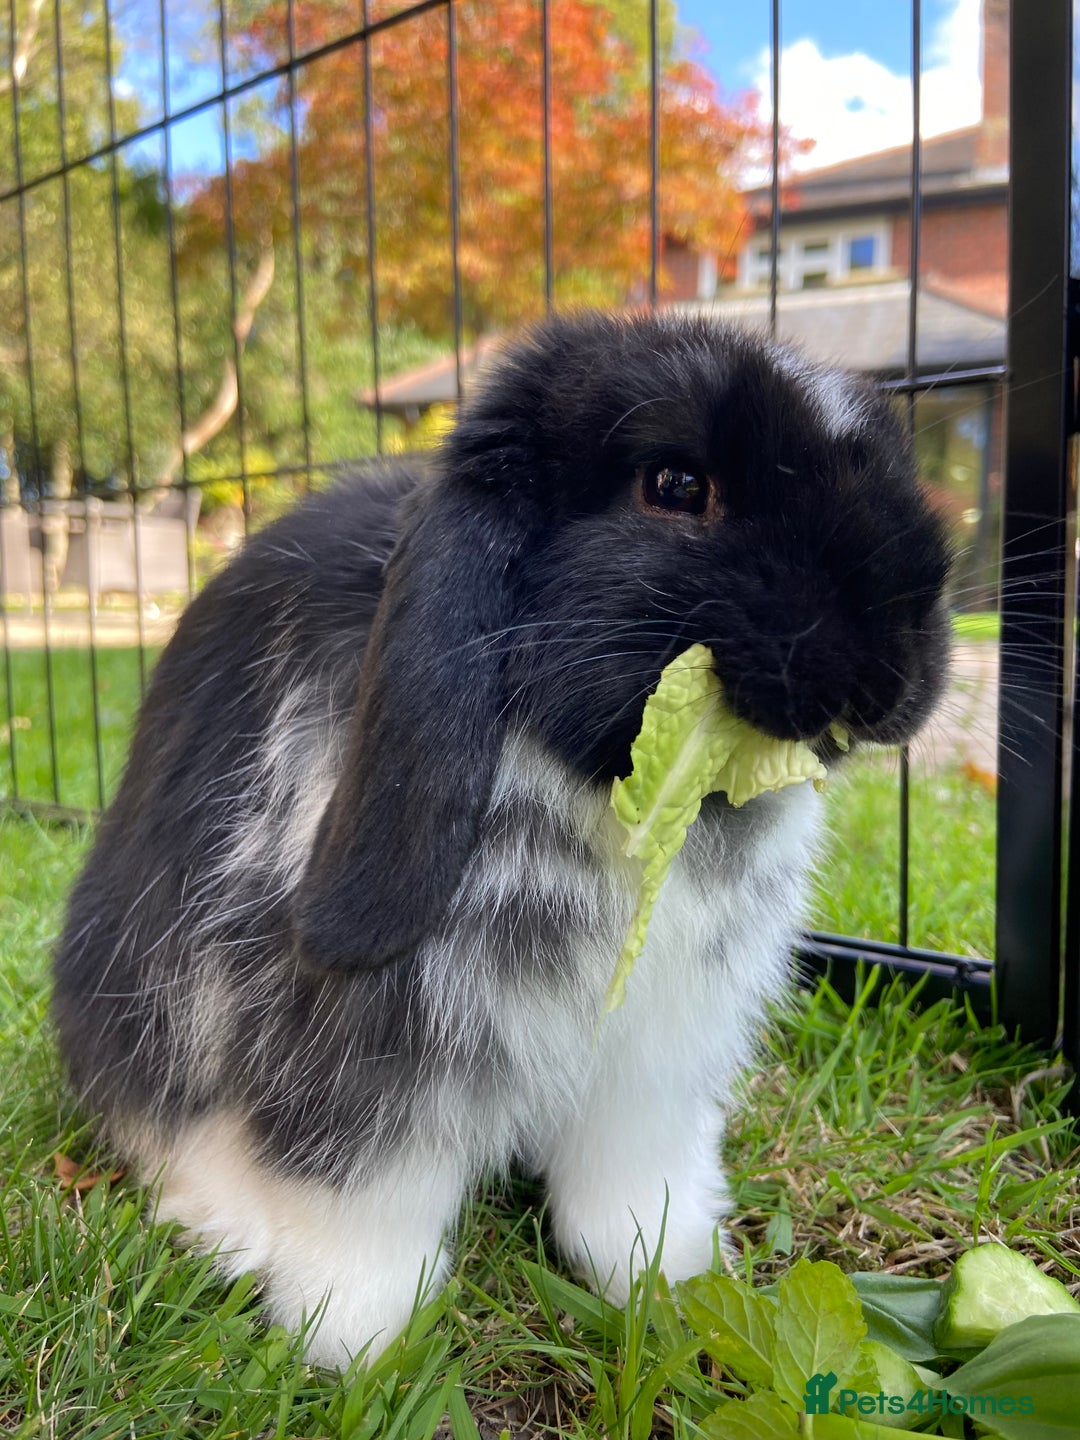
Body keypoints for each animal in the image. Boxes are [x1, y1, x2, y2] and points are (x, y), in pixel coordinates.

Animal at [53, 309, 952, 1368]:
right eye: (676, 485)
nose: (895, 671)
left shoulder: (651, 1060)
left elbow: (629, 1179)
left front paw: (663, 1273)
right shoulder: (370, 1052)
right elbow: (360, 1186)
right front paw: (355, 1336)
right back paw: (224, 1222)